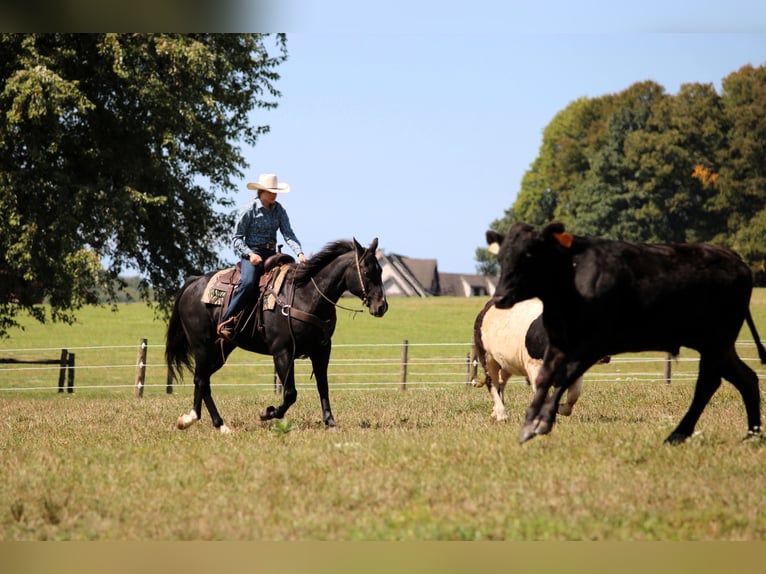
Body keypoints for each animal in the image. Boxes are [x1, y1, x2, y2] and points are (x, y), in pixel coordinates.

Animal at [165, 238, 388, 433]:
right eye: (366, 271)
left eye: (380, 270)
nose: (381, 306)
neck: (305, 295)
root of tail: (193, 282)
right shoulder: (282, 352)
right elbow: (290, 393)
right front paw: (267, 412)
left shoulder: (322, 350)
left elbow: (323, 386)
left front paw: (330, 422)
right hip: (201, 346)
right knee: (202, 380)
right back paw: (217, 424)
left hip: (220, 350)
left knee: (201, 380)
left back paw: (192, 419)